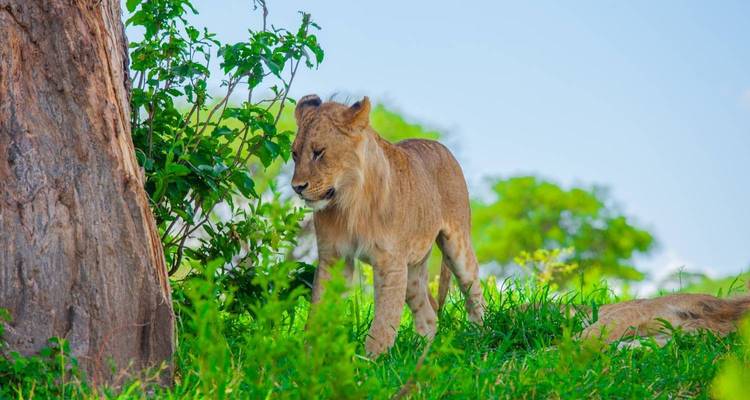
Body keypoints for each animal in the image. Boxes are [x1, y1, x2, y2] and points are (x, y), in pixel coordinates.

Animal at [291, 94, 486, 356]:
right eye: (294, 154)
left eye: (318, 152)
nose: (297, 187)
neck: (348, 203)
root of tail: (440, 145)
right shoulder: (333, 256)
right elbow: (319, 310)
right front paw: (308, 356)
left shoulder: (390, 262)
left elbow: (385, 318)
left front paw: (371, 361)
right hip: (413, 269)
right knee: (428, 315)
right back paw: (421, 355)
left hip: (457, 245)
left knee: (474, 291)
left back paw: (480, 337)